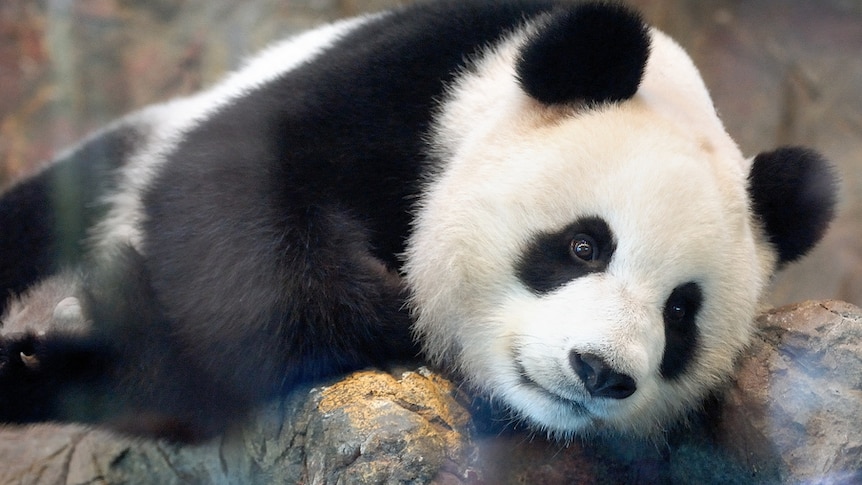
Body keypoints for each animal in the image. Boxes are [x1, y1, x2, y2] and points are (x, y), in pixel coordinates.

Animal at [0, 0, 840, 440]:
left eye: (680, 314)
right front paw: (394, 309)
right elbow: (227, 188)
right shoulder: (420, 70)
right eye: (582, 245)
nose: (601, 370)